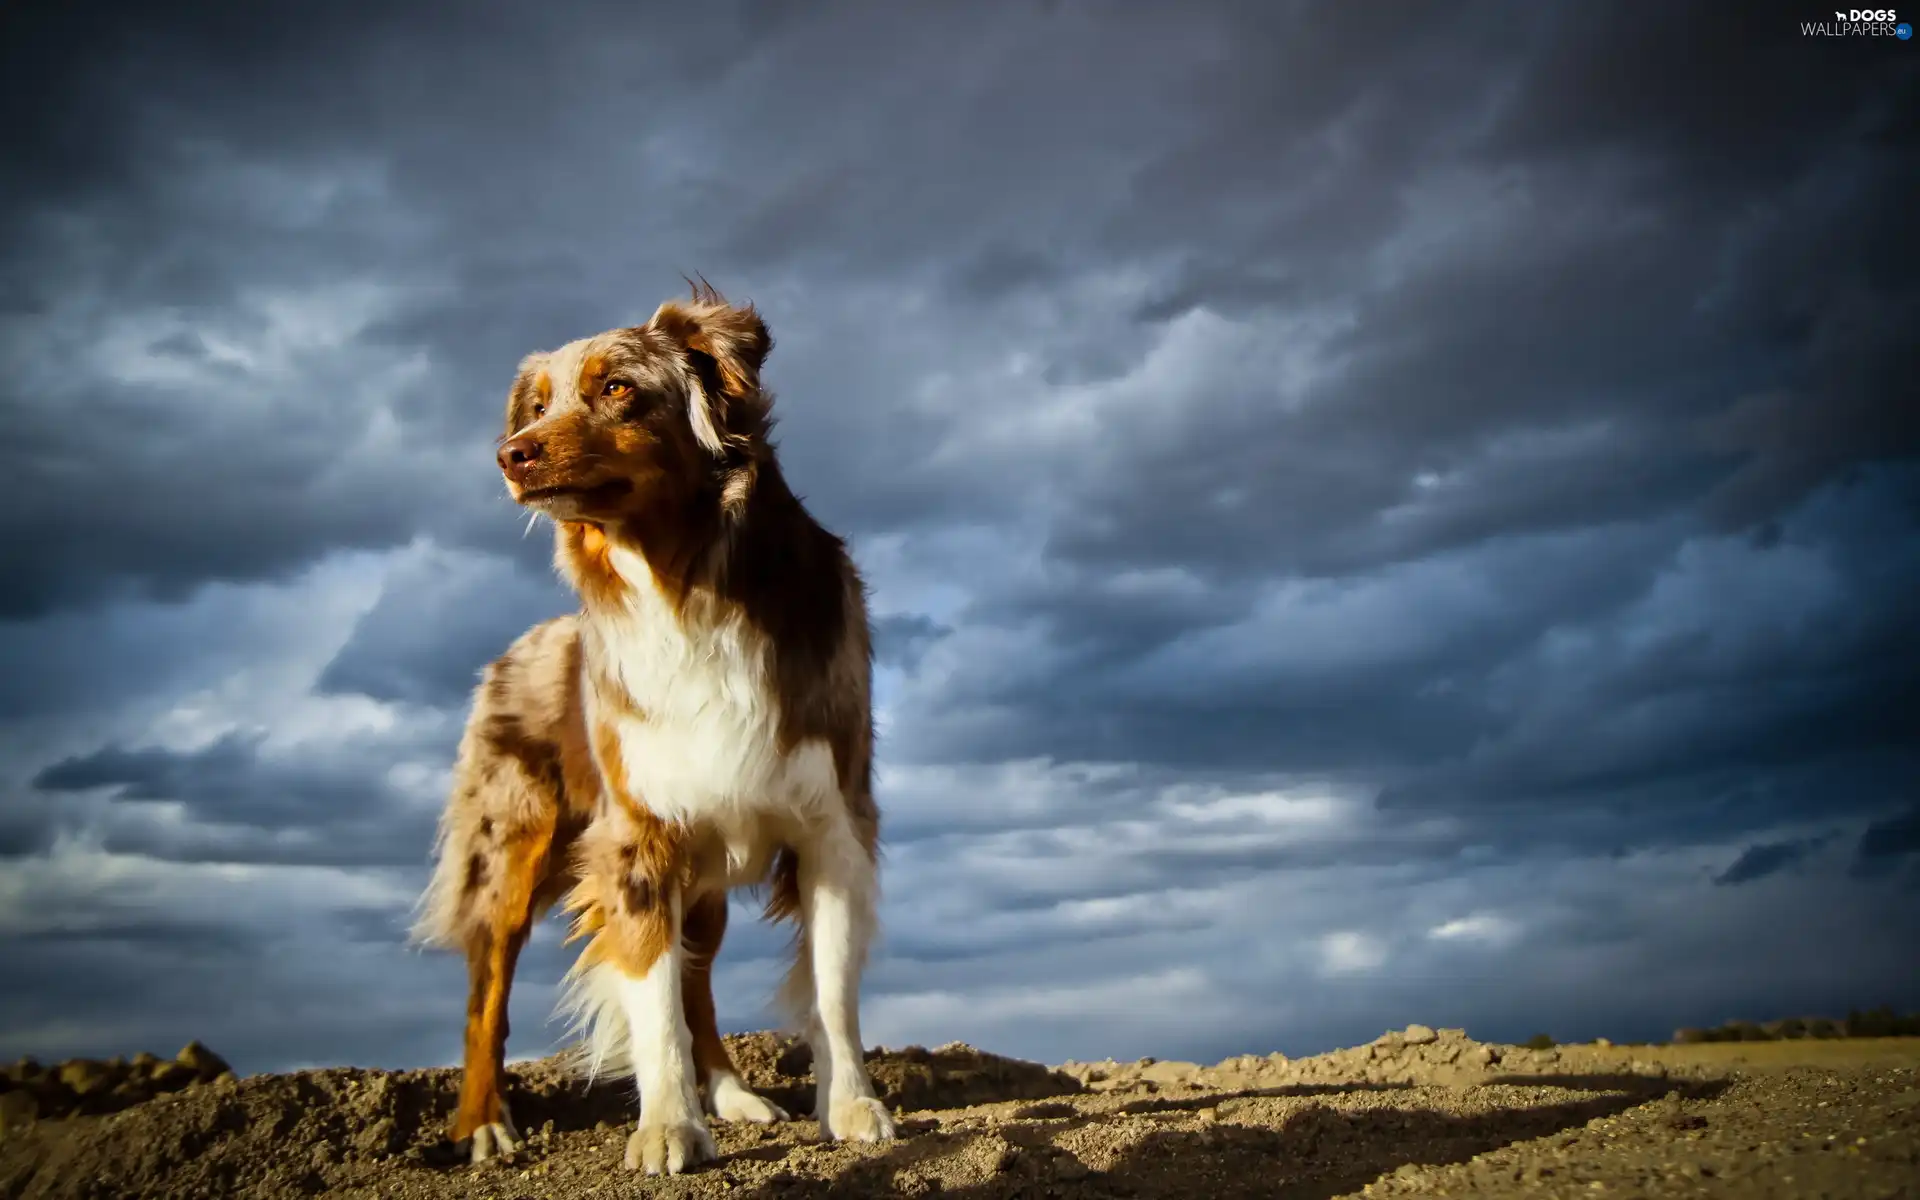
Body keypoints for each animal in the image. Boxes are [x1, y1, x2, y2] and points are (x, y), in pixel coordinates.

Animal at [412, 278, 890, 1167]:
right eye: (537, 404)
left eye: (617, 387)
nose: (510, 453)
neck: (686, 585)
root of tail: (510, 652)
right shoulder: (636, 838)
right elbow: (653, 1004)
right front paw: (667, 1128)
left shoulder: (832, 825)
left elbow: (831, 988)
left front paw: (851, 1106)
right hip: (510, 851)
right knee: (485, 991)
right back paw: (482, 1121)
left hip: (705, 871)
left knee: (697, 979)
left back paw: (733, 1094)